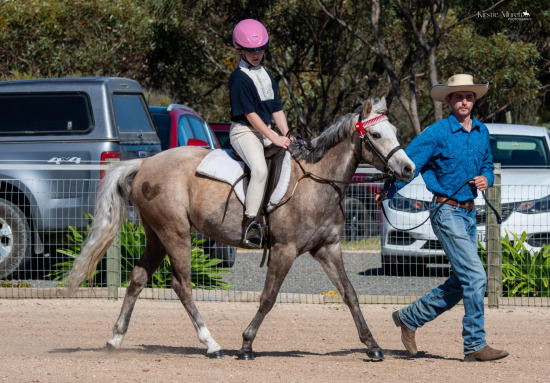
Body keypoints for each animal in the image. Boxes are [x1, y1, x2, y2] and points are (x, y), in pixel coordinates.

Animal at [67, 97, 416, 362]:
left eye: (394, 130)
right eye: (377, 135)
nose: (408, 168)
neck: (315, 181)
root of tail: (146, 163)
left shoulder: (327, 248)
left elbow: (350, 294)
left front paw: (373, 346)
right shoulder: (284, 250)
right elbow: (268, 298)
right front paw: (247, 345)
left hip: (156, 236)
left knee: (138, 279)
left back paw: (116, 338)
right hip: (175, 234)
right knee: (182, 286)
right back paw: (211, 344)